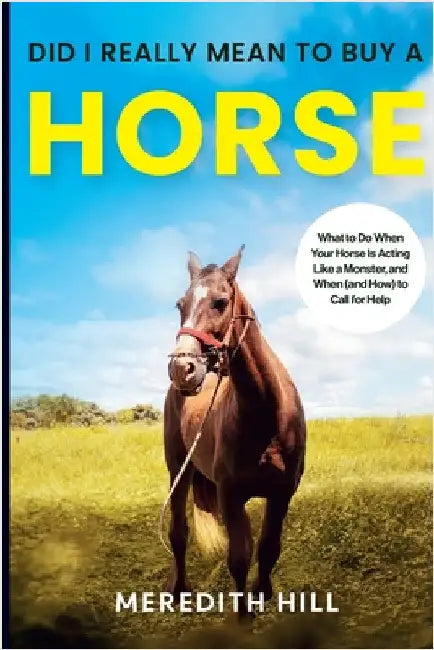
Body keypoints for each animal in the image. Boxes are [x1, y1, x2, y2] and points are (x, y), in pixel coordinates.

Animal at [164, 246, 306, 618]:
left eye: (220, 302)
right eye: (180, 304)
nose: (181, 368)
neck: (266, 418)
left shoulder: (282, 493)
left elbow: (268, 548)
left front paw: (263, 594)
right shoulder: (230, 496)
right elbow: (239, 559)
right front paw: (243, 615)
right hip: (178, 470)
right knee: (178, 533)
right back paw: (178, 590)